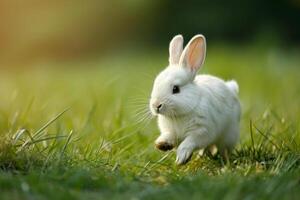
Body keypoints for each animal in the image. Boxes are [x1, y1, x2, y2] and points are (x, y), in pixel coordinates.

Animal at [149, 34, 240, 165]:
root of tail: (231, 88)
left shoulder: (201, 131)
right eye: (155, 84)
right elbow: (169, 136)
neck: (179, 115)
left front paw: (181, 158)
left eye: (176, 89)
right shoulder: (171, 132)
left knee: (223, 149)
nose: (156, 105)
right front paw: (162, 145)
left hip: (229, 135)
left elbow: (189, 142)